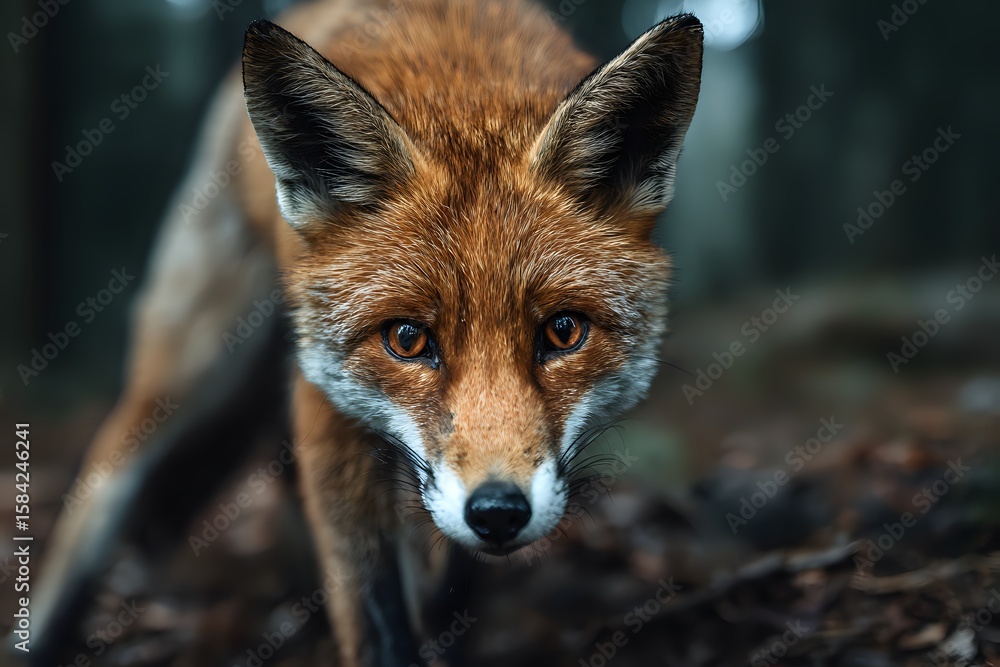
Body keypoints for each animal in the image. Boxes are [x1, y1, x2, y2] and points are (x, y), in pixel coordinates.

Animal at [28, 0, 703, 664]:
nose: (497, 512)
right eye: (406, 339)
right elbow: (376, 614)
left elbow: (448, 584)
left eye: (563, 332)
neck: (458, 81)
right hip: (188, 371)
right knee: (101, 481)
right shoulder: (325, 400)